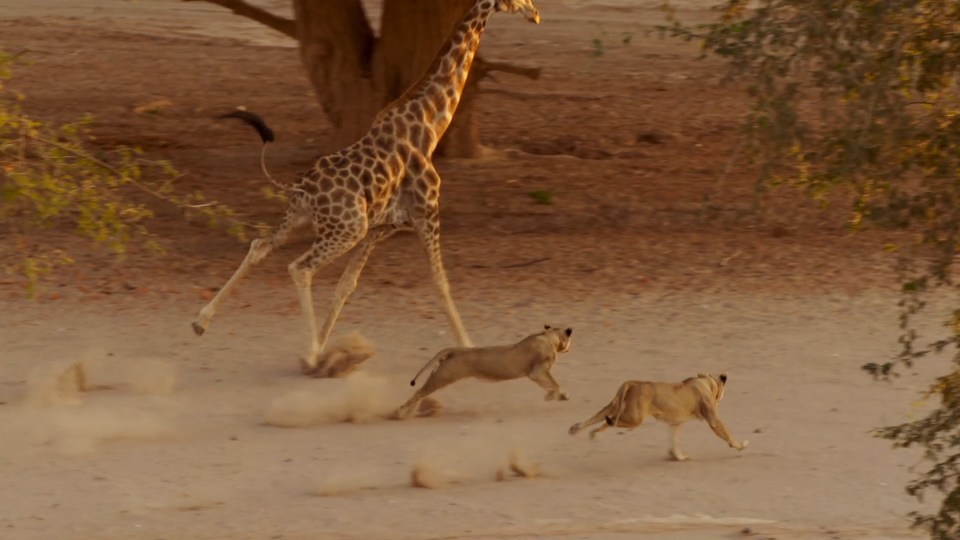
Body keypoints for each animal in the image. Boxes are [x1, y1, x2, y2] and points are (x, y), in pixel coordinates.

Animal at [191, 0, 544, 376]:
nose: (535, 14)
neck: (431, 125)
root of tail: (301, 185)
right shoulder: (427, 211)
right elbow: (441, 282)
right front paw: (469, 348)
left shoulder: (382, 228)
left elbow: (346, 286)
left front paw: (330, 348)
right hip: (347, 229)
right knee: (299, 268)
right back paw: (310, 354)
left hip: (305, 219)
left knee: (260, 246)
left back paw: (201, 322)